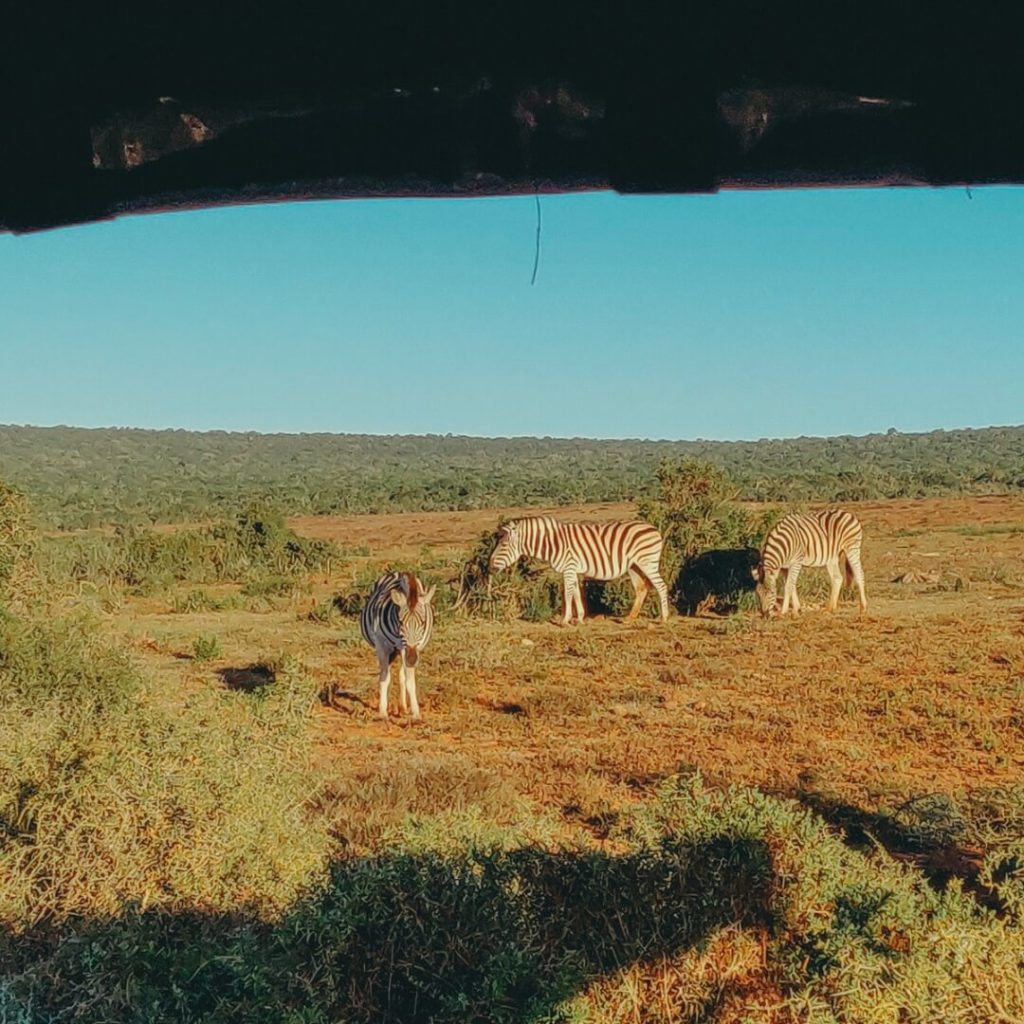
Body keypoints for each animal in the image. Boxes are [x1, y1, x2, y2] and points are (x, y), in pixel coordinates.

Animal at [360, 569, 436, 720]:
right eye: (401, 622)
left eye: (423, 622)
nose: (411, 659)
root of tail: (396, 572)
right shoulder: (382, 646)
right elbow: (384, 677)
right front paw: (382, 712)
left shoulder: (413, 648)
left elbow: (410, 681)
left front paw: (416, 713)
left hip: (403, 651)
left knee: (403, 675)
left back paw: (403, 707)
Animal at [487, 512, 671, 622]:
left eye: (503, 545)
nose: (489, 567)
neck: (553, 543)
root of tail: (654, 528)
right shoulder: (573, 569)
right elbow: (576, 592)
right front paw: (580, 618)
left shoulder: (569, 567)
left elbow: (568, 593)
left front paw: (565, 620)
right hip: (634, 565)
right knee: (641, 588)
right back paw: (629, 618)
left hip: (647, 562)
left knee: (661, 586)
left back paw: (664, 618)